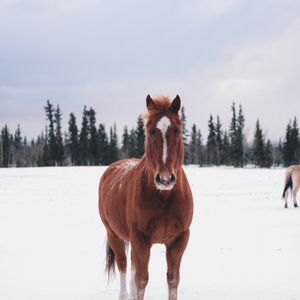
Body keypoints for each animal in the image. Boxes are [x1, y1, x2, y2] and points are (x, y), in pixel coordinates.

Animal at [97, 95, 193, 300]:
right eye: (150, 131)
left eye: (178, 130)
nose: (165, 179)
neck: (164, 198)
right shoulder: (140, 240)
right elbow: (141, 281)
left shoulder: (179, 239)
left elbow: (172, 280)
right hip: (114, 235)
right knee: (124, 266)